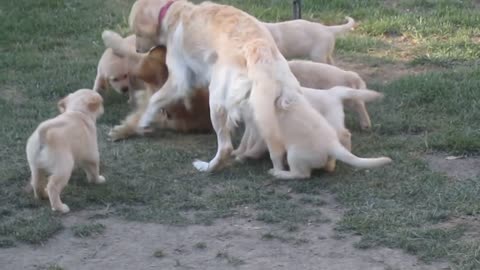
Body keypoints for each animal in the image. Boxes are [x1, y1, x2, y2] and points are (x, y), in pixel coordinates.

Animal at [127, 0, 306, 173]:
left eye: (138, 33)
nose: (137, 49)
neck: (171, 11)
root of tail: (260, 51)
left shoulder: (179, 80)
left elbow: (154, 100)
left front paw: (143, 123)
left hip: (216, 102)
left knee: (225, 147)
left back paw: (206, 167)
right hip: (261, 108)